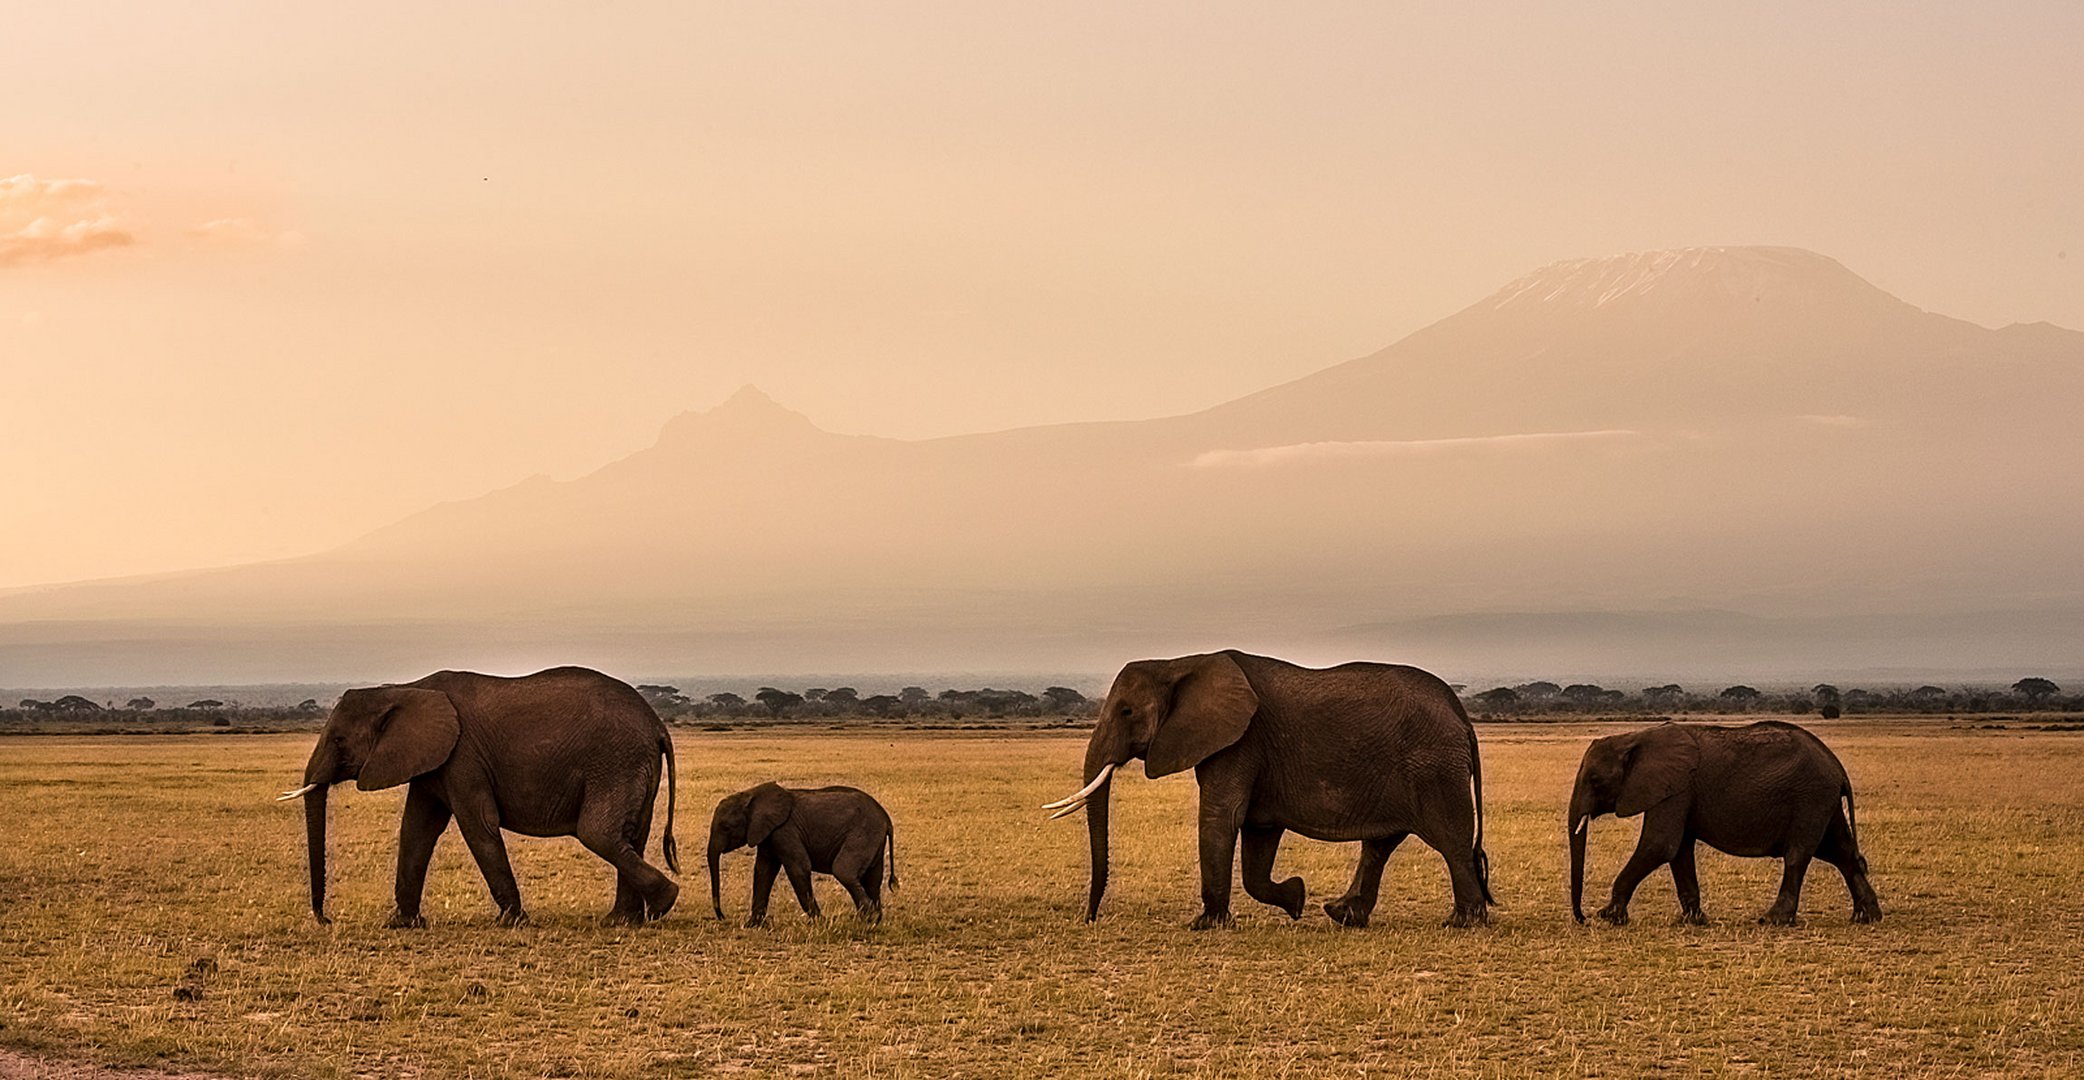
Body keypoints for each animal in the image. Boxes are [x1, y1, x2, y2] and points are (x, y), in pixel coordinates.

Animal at [277, 667, 679, 929]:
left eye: (339, 741)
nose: (327, 919)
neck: (402, 689)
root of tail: (658, 725)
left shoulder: (463, 756)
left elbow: (478, 825)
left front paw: (511, 922)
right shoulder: (434, 760)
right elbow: (417, 830)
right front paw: (402, 924)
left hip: (615, 761)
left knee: (598, 833)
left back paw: (664, 903)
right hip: (630, 763)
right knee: (629, 837)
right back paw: (623, 921)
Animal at [708, 783, 896, 925]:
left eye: (725, 828)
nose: (722, 917)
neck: (750, 794)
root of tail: (886, 818)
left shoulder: (785, 830)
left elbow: (798, 868)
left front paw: (820, 923)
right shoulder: (768, 834)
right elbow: (763, 872)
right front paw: (752, 925)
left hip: (864, 833)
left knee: (844, 871)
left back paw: (868, 919)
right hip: (873, 839)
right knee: (873, 879)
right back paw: (874, 920)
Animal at [1050, 650, 1492, 929]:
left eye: (1126, 711)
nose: (1090, 919)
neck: (1179, 663)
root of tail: (1461, 714)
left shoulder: (1240, 741)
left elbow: (1220, 817)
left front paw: (1204, 925)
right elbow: (1256, 838)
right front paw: (1296, 900)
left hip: (1435, 769)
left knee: (1451, 844)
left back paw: (1462, 923)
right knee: (1380, 845)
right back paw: (1342, 915)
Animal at [1567, 725, 1892, 925]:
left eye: (1594, 780)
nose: (1583, 919)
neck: (1633, 738)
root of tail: (1838, 767)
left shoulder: (1676, 788)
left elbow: (1660, 846)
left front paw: (1610, 917)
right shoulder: (1678, 792)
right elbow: (1678, 851)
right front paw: (1693, 922)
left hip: (1810, 797)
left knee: (1799, 855)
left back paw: (1773, 921)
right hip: (1823, 801)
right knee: (1840, 852)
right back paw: (1866, 917)